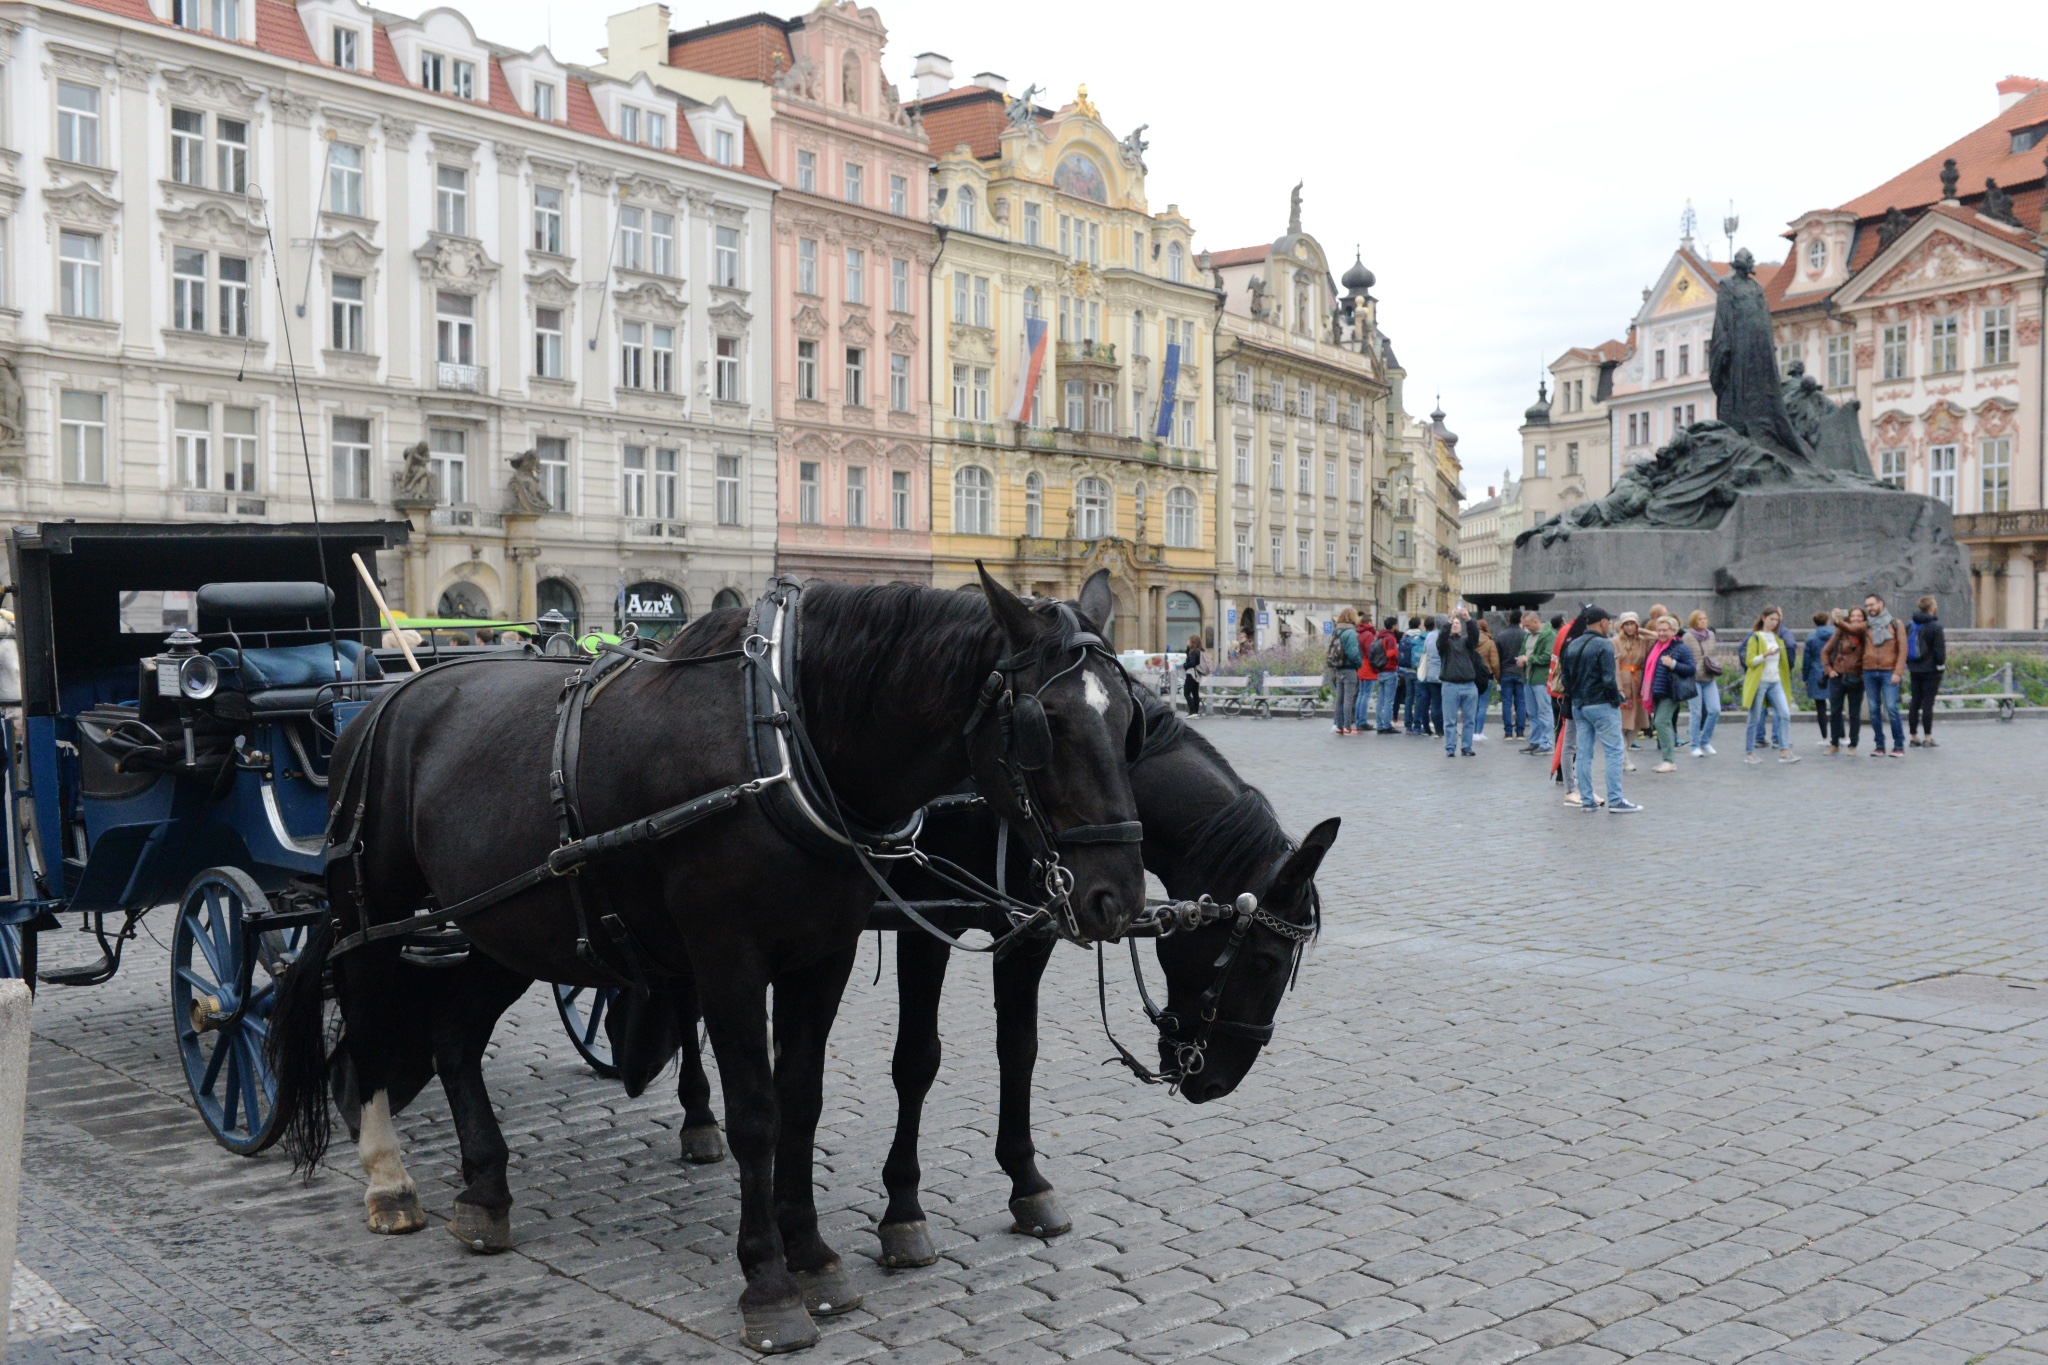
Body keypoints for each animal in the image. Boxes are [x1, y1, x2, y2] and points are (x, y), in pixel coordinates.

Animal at [268, 568, 1155, 1358]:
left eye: (1130, 723)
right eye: (1047, 725)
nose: (1117, 894)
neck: (783, 739)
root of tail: (385, 701)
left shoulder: (823, 954)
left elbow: (804, 1099)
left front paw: (813, 1253)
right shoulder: (731, 955)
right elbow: (758, 1111)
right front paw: (769, 1281)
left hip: (505, 921)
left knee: (453, 1039)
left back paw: (485, 1188)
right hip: (374, 915)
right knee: (370, 1025)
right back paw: (389, 1178)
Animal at [626, 695, 1343, 1268]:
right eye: (1265, 962)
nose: (1218, 1081)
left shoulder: (1030, 931)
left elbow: (1018, 1049)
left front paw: (1027, 1180)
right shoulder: (925, 923)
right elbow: (916, 1060)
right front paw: (903, 1207)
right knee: (685, 996)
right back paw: (698, 1115)